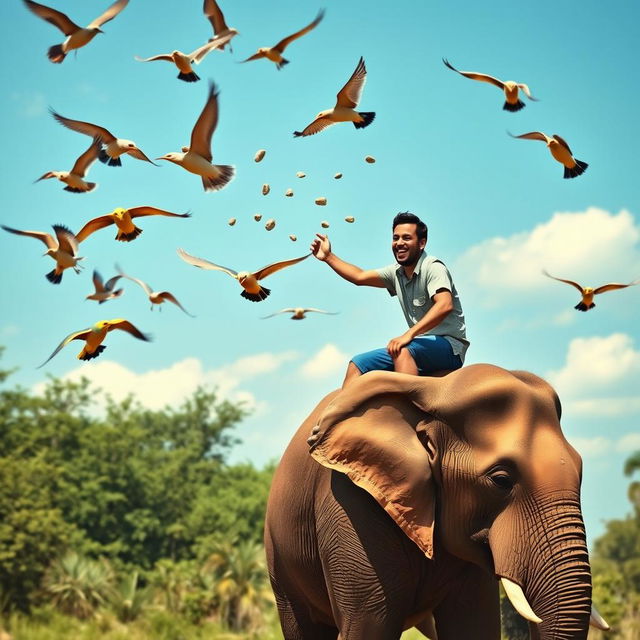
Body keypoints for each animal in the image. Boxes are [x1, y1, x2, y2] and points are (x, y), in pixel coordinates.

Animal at [264, 364, 608, 640]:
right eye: (501, 480)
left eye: (580, 471)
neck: (436, 389)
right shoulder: (349, 499)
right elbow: (370, 622)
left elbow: (472, 625)